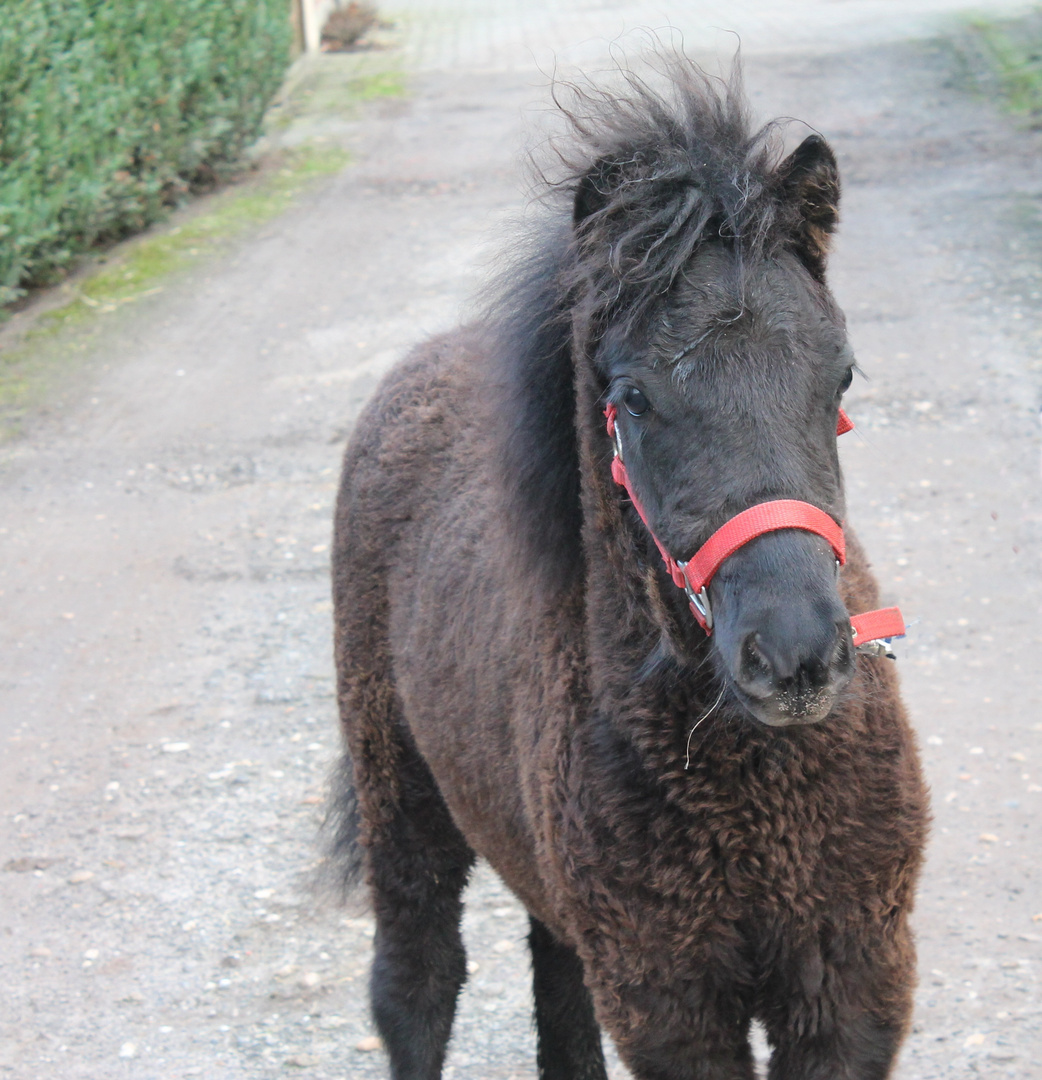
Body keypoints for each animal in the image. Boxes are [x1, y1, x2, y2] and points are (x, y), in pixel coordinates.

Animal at [330, 56, 924, 1080]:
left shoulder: (851, 984)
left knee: (555, 985)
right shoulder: (672, 1003)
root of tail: (423, 363)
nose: (797, 655)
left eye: (840, 377)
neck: (757, 791)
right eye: (635, 399)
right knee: (415, 982)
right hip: (397, 793)